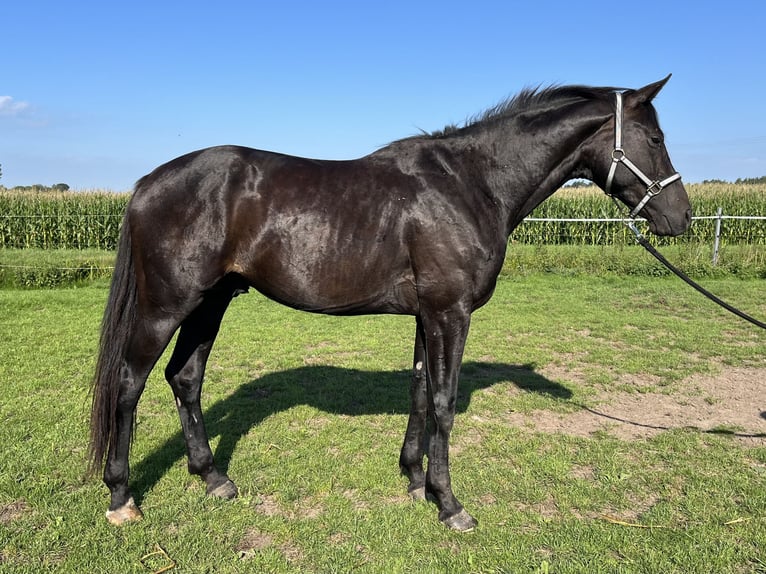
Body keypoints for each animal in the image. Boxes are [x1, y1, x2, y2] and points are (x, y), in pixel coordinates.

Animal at [91, 77, 696, 536]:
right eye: (655, 136)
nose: (681, 217)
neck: (472, 184)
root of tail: (146, 183)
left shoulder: (428, 315)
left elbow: (420, 392)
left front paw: (414, 480)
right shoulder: (451, 313)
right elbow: (445, 403)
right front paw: (450, 505)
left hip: (209, 303)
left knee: (184, 377)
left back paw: (213, 478)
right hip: (167, 305)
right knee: (129, 382)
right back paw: (121, 496)